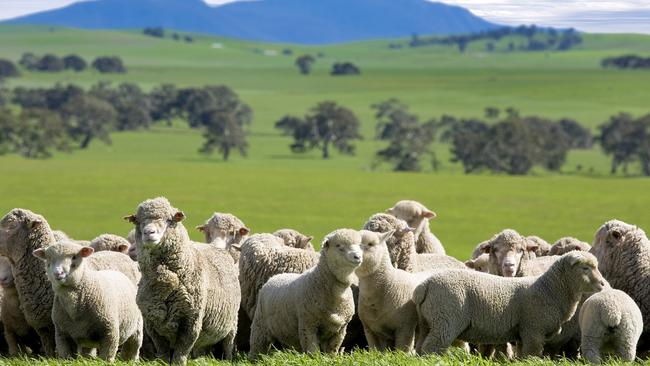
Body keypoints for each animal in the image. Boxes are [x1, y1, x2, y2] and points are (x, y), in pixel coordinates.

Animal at [123, 196, 238, 364]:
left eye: (169, 219)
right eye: (138, 221)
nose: (148, 232)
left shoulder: (191, 321)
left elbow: (181, 353)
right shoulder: (152, 323)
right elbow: (163, 353)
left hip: (231, 325)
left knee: (228, 346)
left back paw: (227, 360)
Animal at [248, 229, 362, 358]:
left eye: (359, 245)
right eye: (339, 246)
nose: (358, 257)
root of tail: (275, 277)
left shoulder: (340, 330)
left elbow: (332, 351)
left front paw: (330, 359)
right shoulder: (308, 325)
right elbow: (312, 351)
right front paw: (314, 360)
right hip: (260, 326)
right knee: (257, 346)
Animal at [412, 252, 604, 358]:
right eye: (585, 268)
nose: (602, 284)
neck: (549, 289)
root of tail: (424, 286)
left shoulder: (523, 334)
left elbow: (522, 355)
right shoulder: (534, 330)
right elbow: (532, 355)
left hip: (428, 322)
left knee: (420, 347)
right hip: (446, 319)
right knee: (431, 348)